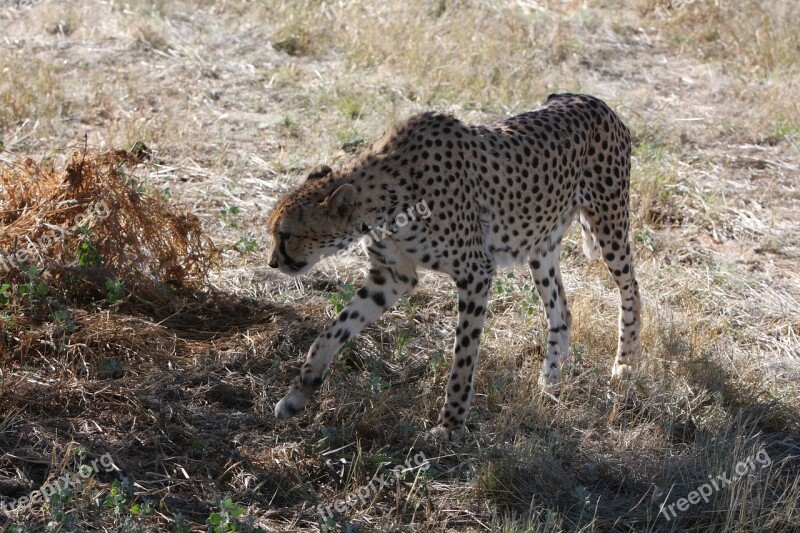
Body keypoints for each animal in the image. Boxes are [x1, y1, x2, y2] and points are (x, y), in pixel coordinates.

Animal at [268, 93, 644, 438]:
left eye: (285, 234)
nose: (273, 263)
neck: (381, 200)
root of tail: (589, 99)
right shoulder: (391, 276)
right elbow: (332, 331)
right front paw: (298, 394)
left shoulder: (476, 272)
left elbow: (463, 356)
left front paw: (451, 424)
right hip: (540, 243)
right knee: (561, 310)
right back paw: (551, 379)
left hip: (609, 223)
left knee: (631, 288)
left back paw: (625, 365)